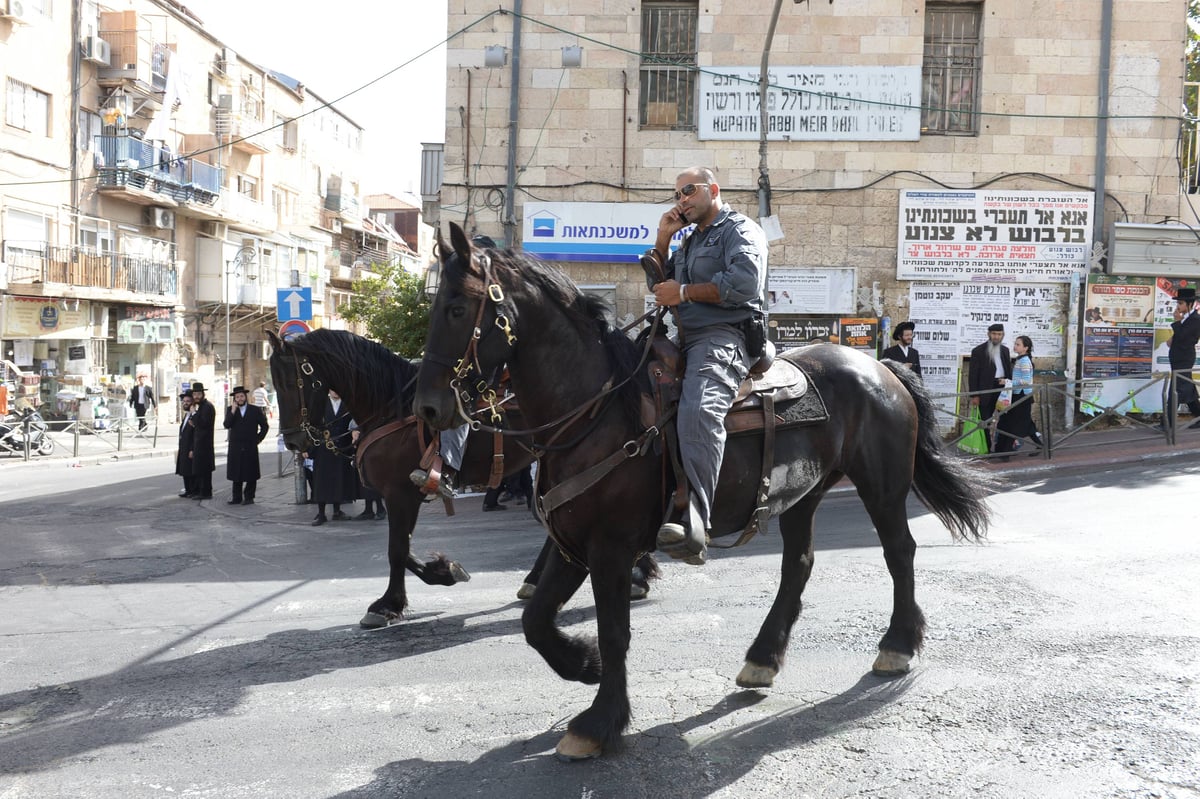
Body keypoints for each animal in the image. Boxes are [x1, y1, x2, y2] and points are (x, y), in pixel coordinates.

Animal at [268, 326, 657, 623]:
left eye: (290, 381)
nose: (293, 440)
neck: (391, 406)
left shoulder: (399, 494)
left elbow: (397, 550)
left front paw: (390, 605)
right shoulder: (401, 497)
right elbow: (403, 549)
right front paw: (445, 570)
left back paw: (635, 573)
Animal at [415, 224, 993, 758]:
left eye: (458, 307)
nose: (427, 406)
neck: (597, 412)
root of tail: (880, 366)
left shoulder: (610, 548)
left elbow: (614, 630)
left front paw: (600, 722)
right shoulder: (572, 542)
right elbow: (535, 622)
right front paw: (583, 665)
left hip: (882, 485)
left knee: (899, 552)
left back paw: (897, 645)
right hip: (803, 494)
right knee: (799, 563)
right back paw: (762, 658)